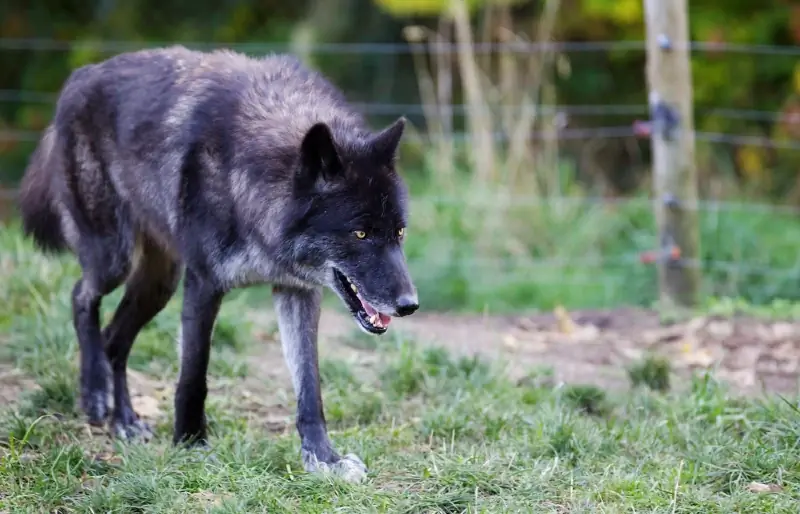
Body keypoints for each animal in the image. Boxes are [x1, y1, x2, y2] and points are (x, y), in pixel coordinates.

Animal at [17, 45, 418, 480]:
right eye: (359, 234)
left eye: (399, 233)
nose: (409, 305)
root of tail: (81, 76)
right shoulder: (204, 283)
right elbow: (194, 374)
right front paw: (190, 442)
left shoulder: (297, 291)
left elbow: (310, 386)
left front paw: (323, 458)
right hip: (115, 257)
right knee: (81, 296)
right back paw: (94, 393)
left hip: (159, 283)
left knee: (114, 338)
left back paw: (124, 420)